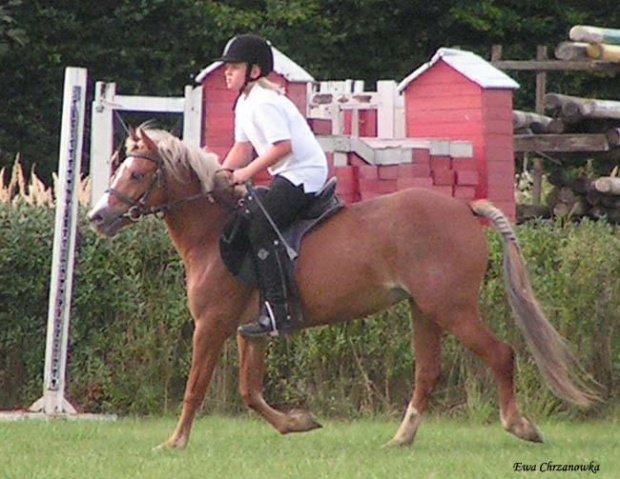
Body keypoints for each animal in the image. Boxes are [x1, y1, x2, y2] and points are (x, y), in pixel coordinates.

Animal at [88, 126, 596, 450]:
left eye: (136, 174)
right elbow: (250, 391)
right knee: (427, 372)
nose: (97, 217)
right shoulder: (248, 329)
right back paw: (401, 439)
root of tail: (464, 208)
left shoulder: (210, 324)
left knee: (501, 354)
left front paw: (174, 442)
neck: (213, 232)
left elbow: (197, 386)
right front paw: (298, 422)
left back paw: (519, 425)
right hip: (424, 309)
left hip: (452, 308)